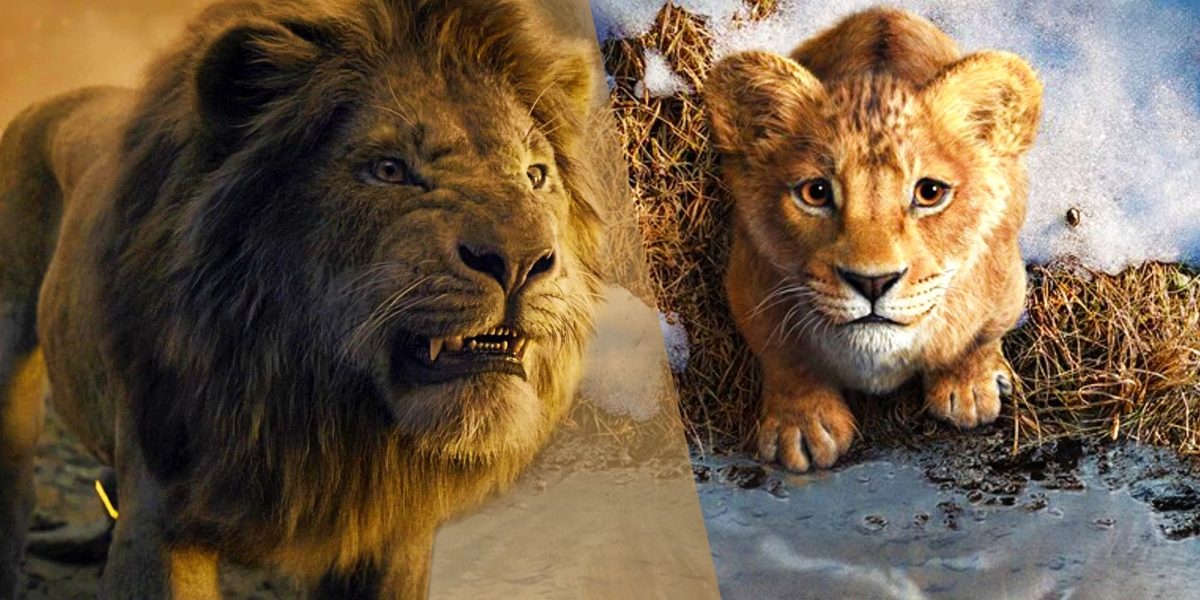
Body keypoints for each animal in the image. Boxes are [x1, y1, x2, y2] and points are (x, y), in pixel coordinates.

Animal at [704, 7, 1043, 473]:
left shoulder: (1005, 281)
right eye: (816, 192)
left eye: (929, 192)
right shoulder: (749, 282)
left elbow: (979, 336)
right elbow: (784, 356)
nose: (872, 282)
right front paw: (802, 426)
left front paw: (969, 388)